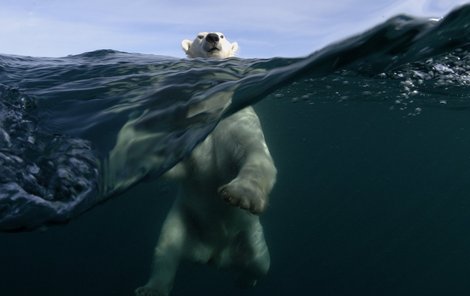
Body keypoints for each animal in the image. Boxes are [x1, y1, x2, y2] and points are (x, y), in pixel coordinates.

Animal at [134, 33, 278, 296]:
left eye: (222, 35)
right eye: (199, 36)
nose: (212, 37)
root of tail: (214, 255)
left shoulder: (238, 121)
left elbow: (255, 154)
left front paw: (240, 195)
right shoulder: (189, 128)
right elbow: (179, 166)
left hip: (251, 235)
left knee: (259, 263)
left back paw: (244, 280)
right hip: (183, 220)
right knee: (166, 250)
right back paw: (151, 289)